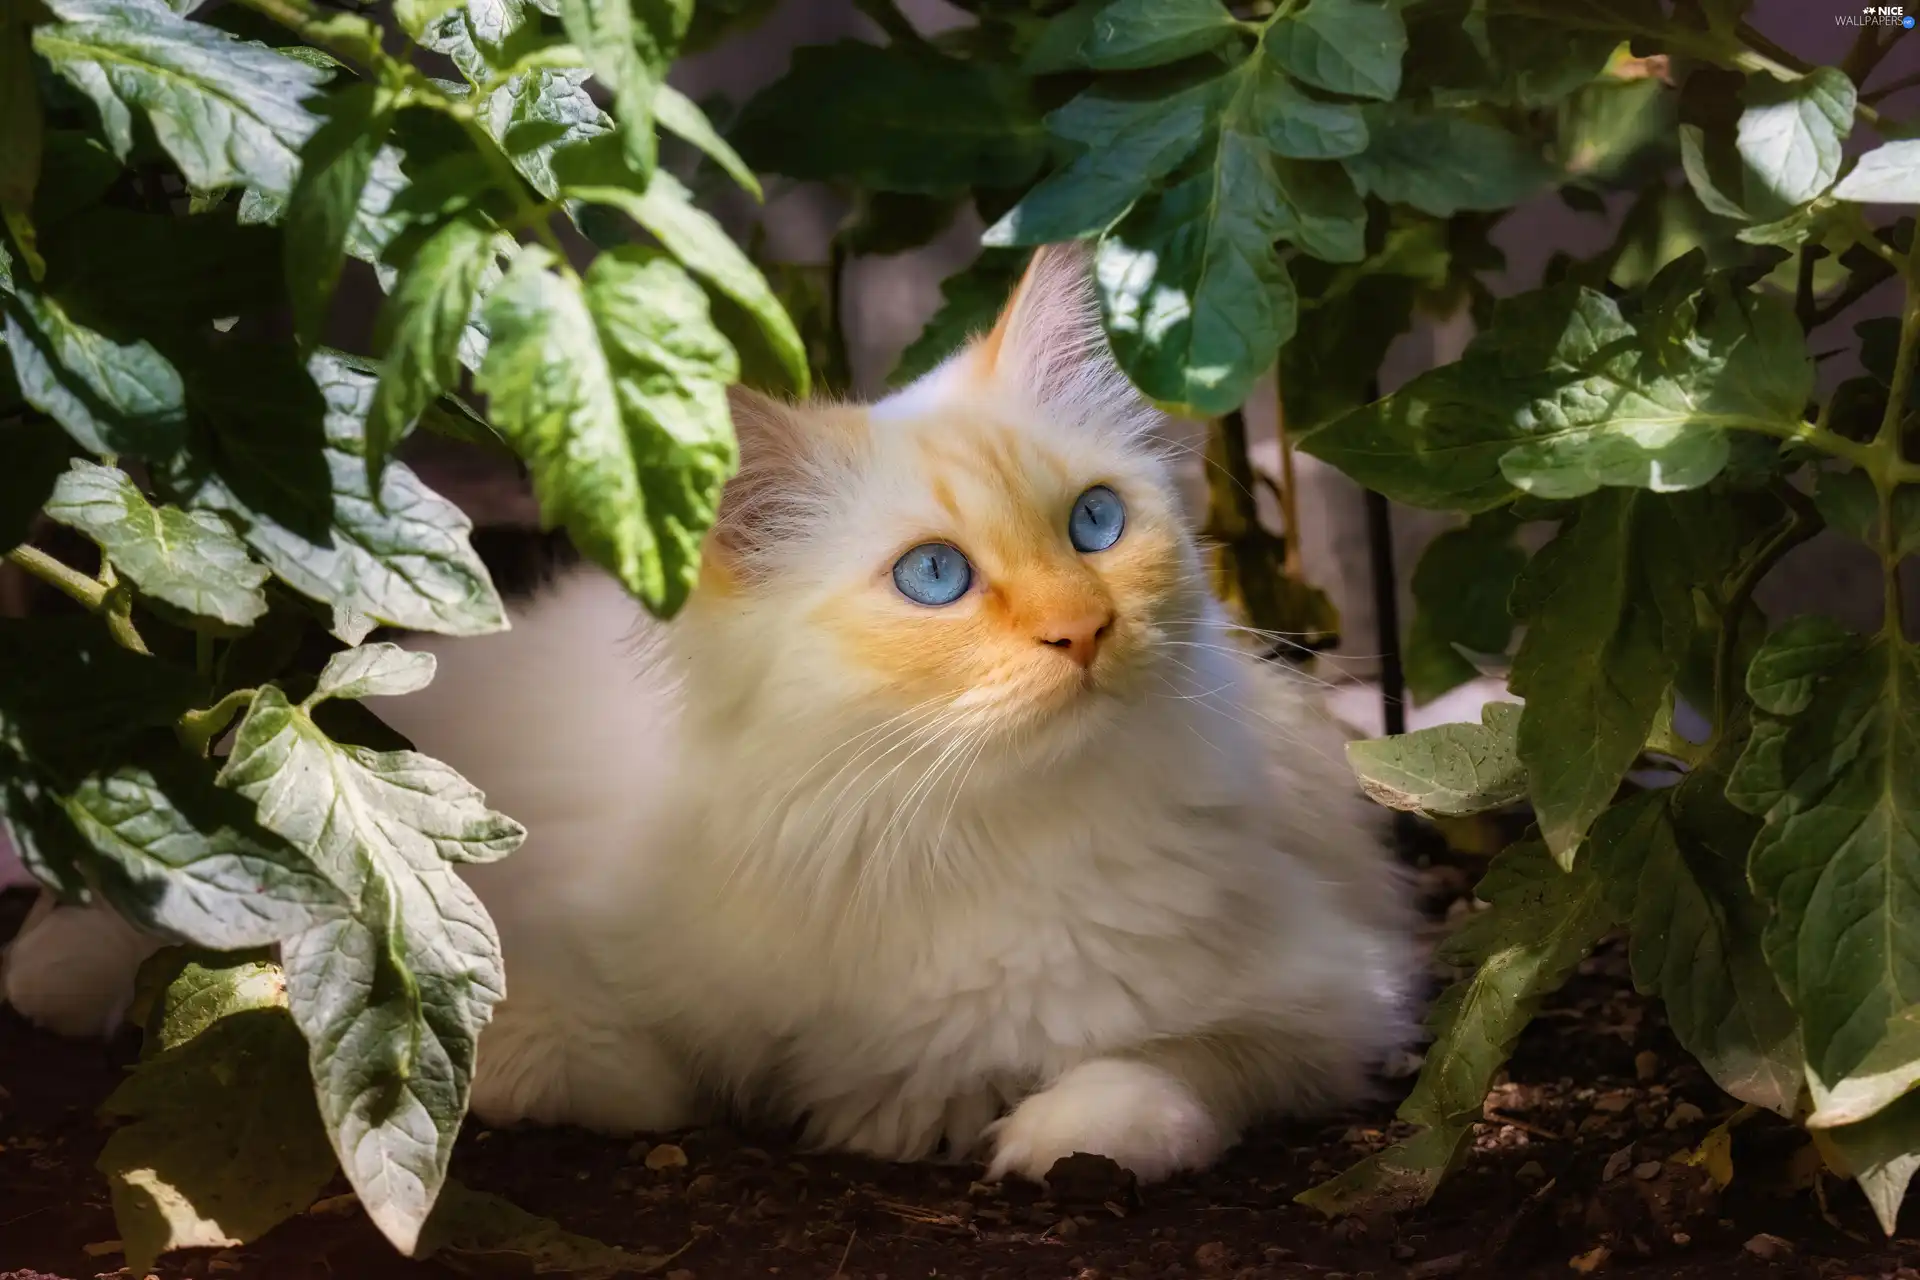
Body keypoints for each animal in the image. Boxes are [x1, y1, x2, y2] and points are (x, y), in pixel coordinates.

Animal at [7, 245, 1420, 1189]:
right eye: (935, 577)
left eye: (1095, 524)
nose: (1085, 628)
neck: (969, 824)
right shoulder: (507, 945)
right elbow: (594, 1059)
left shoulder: (1339, 996)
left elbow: (1179, 1071)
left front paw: (1039, 1132)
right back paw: (56, 973)